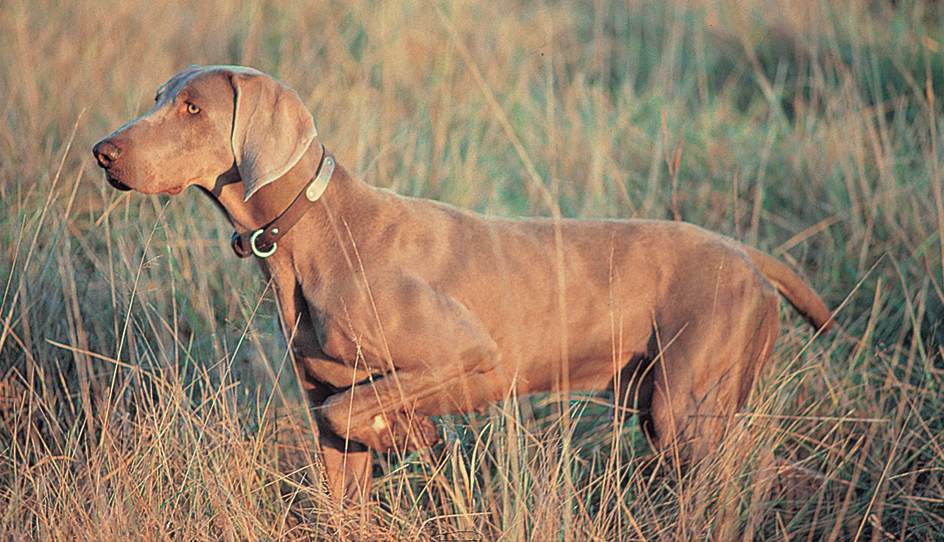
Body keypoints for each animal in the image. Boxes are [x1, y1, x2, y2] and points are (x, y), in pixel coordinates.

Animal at [94, 66, 832, 508]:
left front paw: (416, 434)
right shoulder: (325, 407)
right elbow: (342, 456)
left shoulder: (467, 355)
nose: (103, 151)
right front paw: (404, 436)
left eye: (192, 108)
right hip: (666, 404)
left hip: (686, 408)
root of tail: (747, 254)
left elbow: (361, 410)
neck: (312, 232)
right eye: (157, 100)